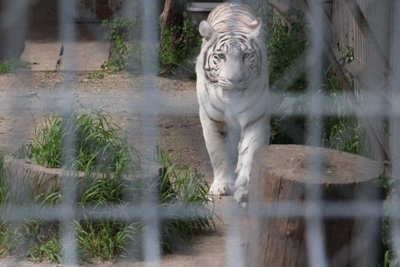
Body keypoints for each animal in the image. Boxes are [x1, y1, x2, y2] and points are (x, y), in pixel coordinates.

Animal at [195, 2, 270, 205]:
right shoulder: (212, 118)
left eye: (245, 55)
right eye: (221, 56)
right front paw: (221, 185)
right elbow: (218, 152)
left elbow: (251, 151)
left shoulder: (256, 117)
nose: (235, 80)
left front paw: (244, 188)